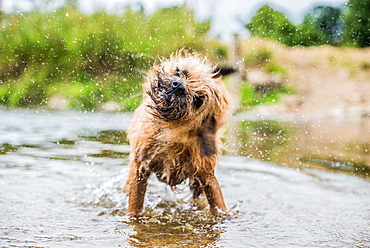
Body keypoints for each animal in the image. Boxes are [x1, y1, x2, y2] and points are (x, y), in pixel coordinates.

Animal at [123, 50, 230, 217]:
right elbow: (135, 206)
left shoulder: (207, 175)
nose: (179, 86)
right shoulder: (140, 168)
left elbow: (218, 204)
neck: (172, 134)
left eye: (198, 99)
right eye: (180, 72)